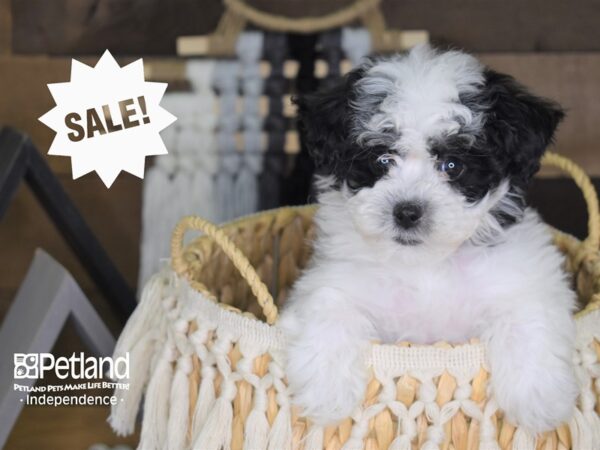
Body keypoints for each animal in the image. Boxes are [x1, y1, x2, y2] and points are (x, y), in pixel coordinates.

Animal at [278, 44, 580, 432]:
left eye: (453, 165)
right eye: (382, 160)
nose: (407, 212)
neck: (427, 264)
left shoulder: (522, 279)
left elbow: (529, 320)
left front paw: (539, 399)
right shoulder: (333, 279)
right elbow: (329, 306)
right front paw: (326, 392)